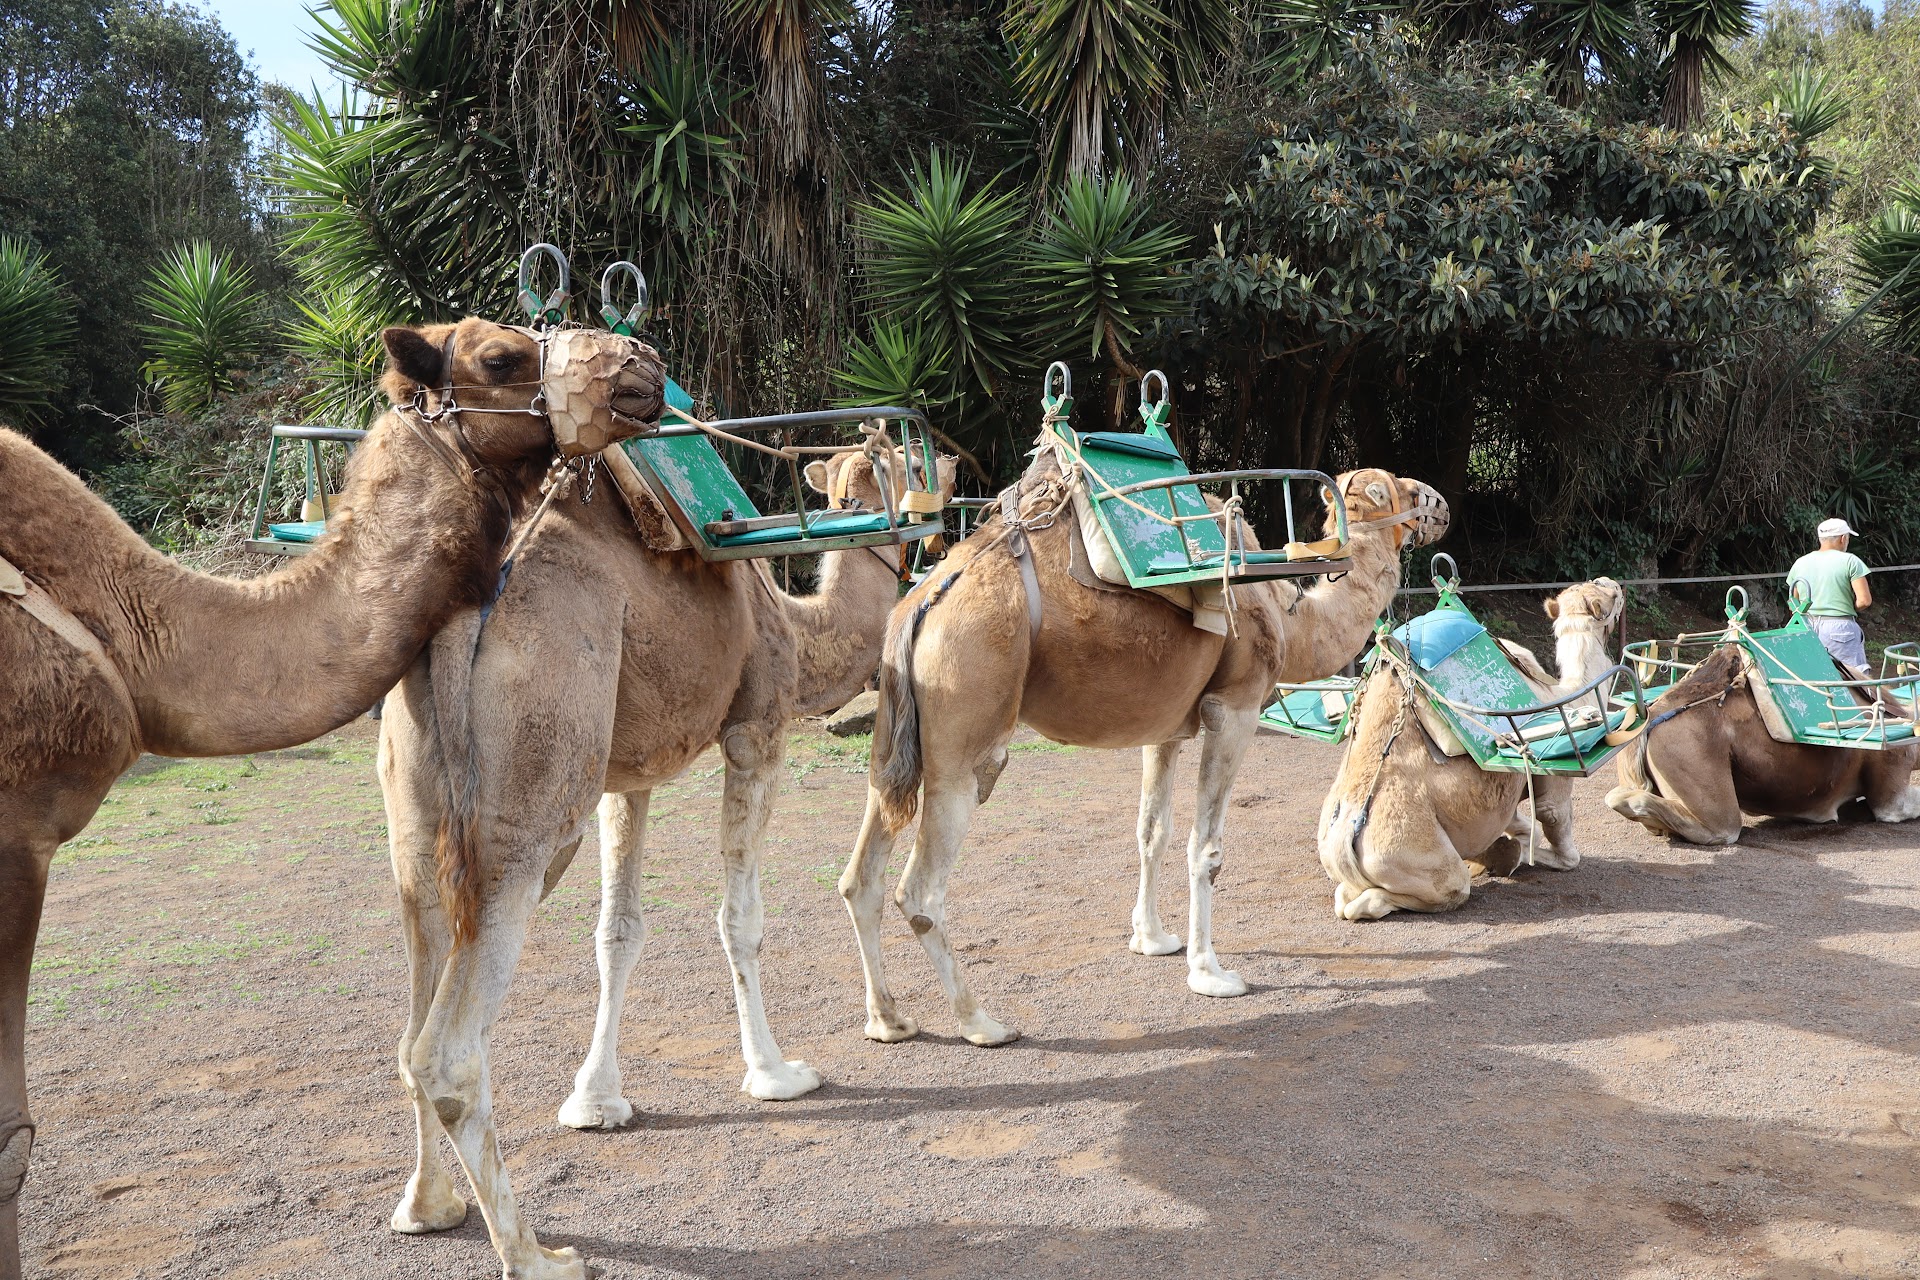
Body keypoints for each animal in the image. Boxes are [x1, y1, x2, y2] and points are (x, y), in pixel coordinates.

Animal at [378, 441, 954, 1280]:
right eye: (915, 466)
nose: (951, 482)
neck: (793, 621)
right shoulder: (757, 728)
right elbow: (740, 917)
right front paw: (777, 1073)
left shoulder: (630, 775)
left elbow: (618, 933)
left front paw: (597, 1100)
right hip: (528, 807)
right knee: (447, 1051)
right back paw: (536, 1254)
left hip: (418, 824)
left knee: (410, 1014)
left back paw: (428, 1207)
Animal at [837, 460, 1446, 1047]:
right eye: (1393, 490)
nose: (1440, 503)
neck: (1286, 614)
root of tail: (919, 606)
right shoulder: (1235, 707)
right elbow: (1206, 847)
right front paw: (1211, 973)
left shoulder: (1167, 726)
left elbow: (1152, 830)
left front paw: (1152, 939)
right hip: (963, 734)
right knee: (920, 891)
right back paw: (982, 1023)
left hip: (895, 742)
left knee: (860, 876)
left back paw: (889, 1020)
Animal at [1316, 578, 1625, 921]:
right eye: (1609, 597)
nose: (1614, 583)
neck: (1564, 692)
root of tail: (1346, 834)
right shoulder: (1551, 776)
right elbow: (1555, 826)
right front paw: (1520, 855)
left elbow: (1519, 823)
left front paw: (1504, 851)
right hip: (1410, 856)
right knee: (1438, 888)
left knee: (1344, 898)